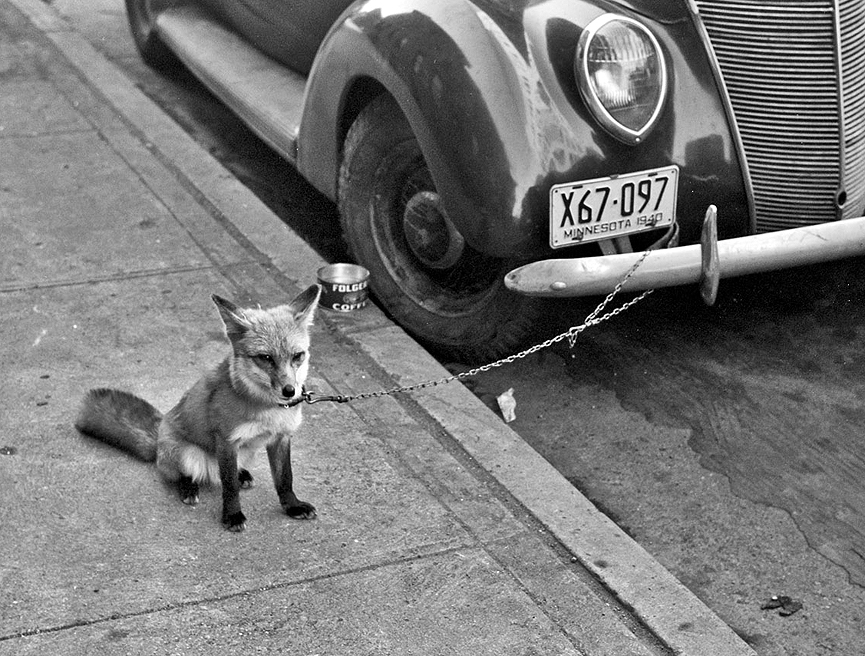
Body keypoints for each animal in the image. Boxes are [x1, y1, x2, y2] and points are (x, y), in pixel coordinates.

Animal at [74, 284, 322, 532]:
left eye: (298, 356)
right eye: (266, 358)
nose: (289, 391)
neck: (269, 410)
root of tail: (158, 439)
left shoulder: (281, 438)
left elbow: (285, 479)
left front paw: (292, 506)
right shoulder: (226, 440)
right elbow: (229, 486)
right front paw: (232, 515)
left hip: (245, 451)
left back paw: (242, 474)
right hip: (187, 453)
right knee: (185, 475)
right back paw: (189, 487)